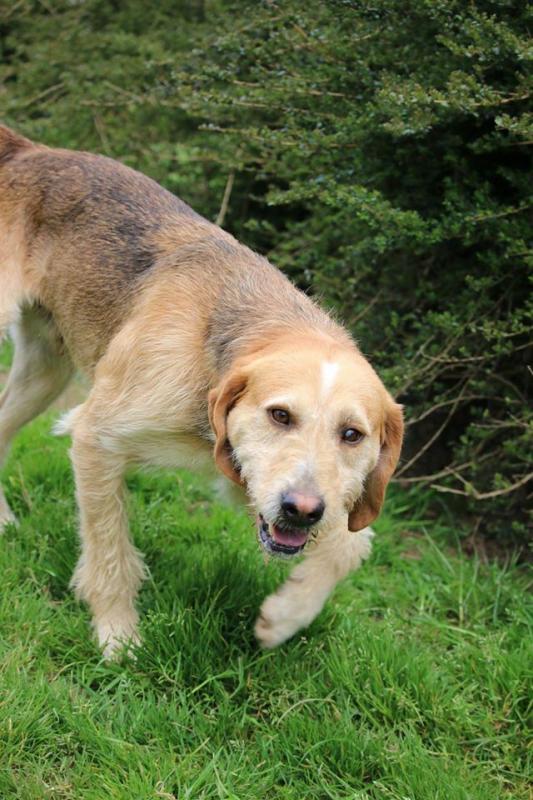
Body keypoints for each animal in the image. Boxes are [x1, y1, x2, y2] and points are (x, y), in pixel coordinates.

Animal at [0, 126, 402, 656]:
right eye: (280, 415)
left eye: (352, 434)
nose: (301, 511)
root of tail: (28, 151)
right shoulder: (95, 440)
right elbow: (110, 554)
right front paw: (117, 636)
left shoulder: (258, 483)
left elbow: (350, 545)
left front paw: (285, 617)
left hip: (43, 372)